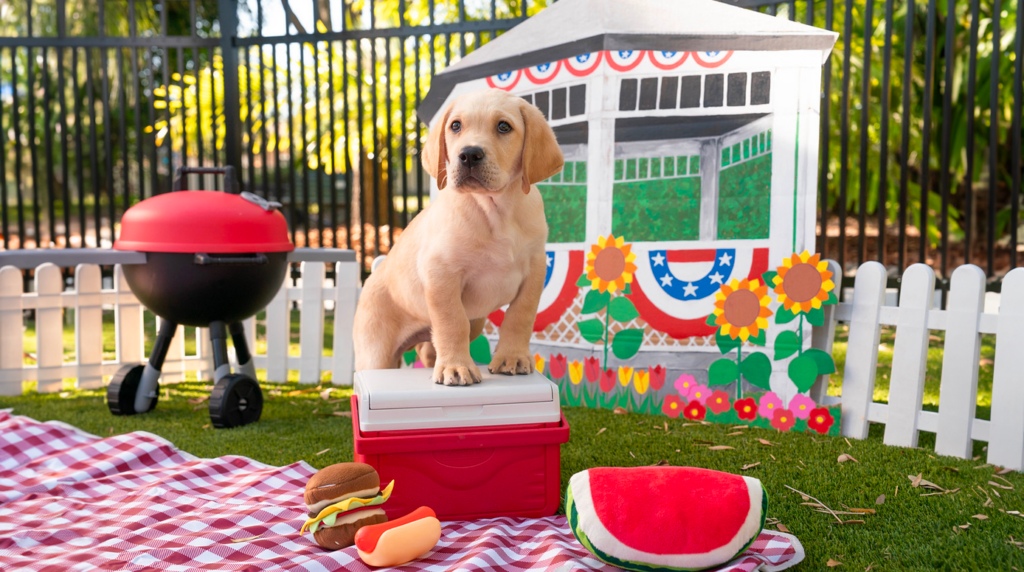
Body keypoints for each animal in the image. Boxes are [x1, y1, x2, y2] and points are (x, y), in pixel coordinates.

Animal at [352, 88, 561, 384]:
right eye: (455, 126)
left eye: (504, 127)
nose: (469, 154)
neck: (496, 213)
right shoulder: (442, 273)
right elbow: (452, 322)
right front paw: (456, 367)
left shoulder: (535, 267)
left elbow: (520, 315)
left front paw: (513, 357)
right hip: (375, 352)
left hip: (469, 324)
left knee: (430, 349)